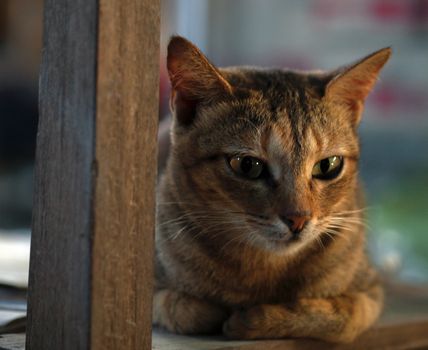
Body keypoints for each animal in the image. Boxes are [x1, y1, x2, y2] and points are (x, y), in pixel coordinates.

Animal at [152, 34, 390, 342]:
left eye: (328, 166)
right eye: (247, 165)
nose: (298, 219)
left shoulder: (370, 292)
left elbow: (339, 316)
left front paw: (255, 319)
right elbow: (182, 308)